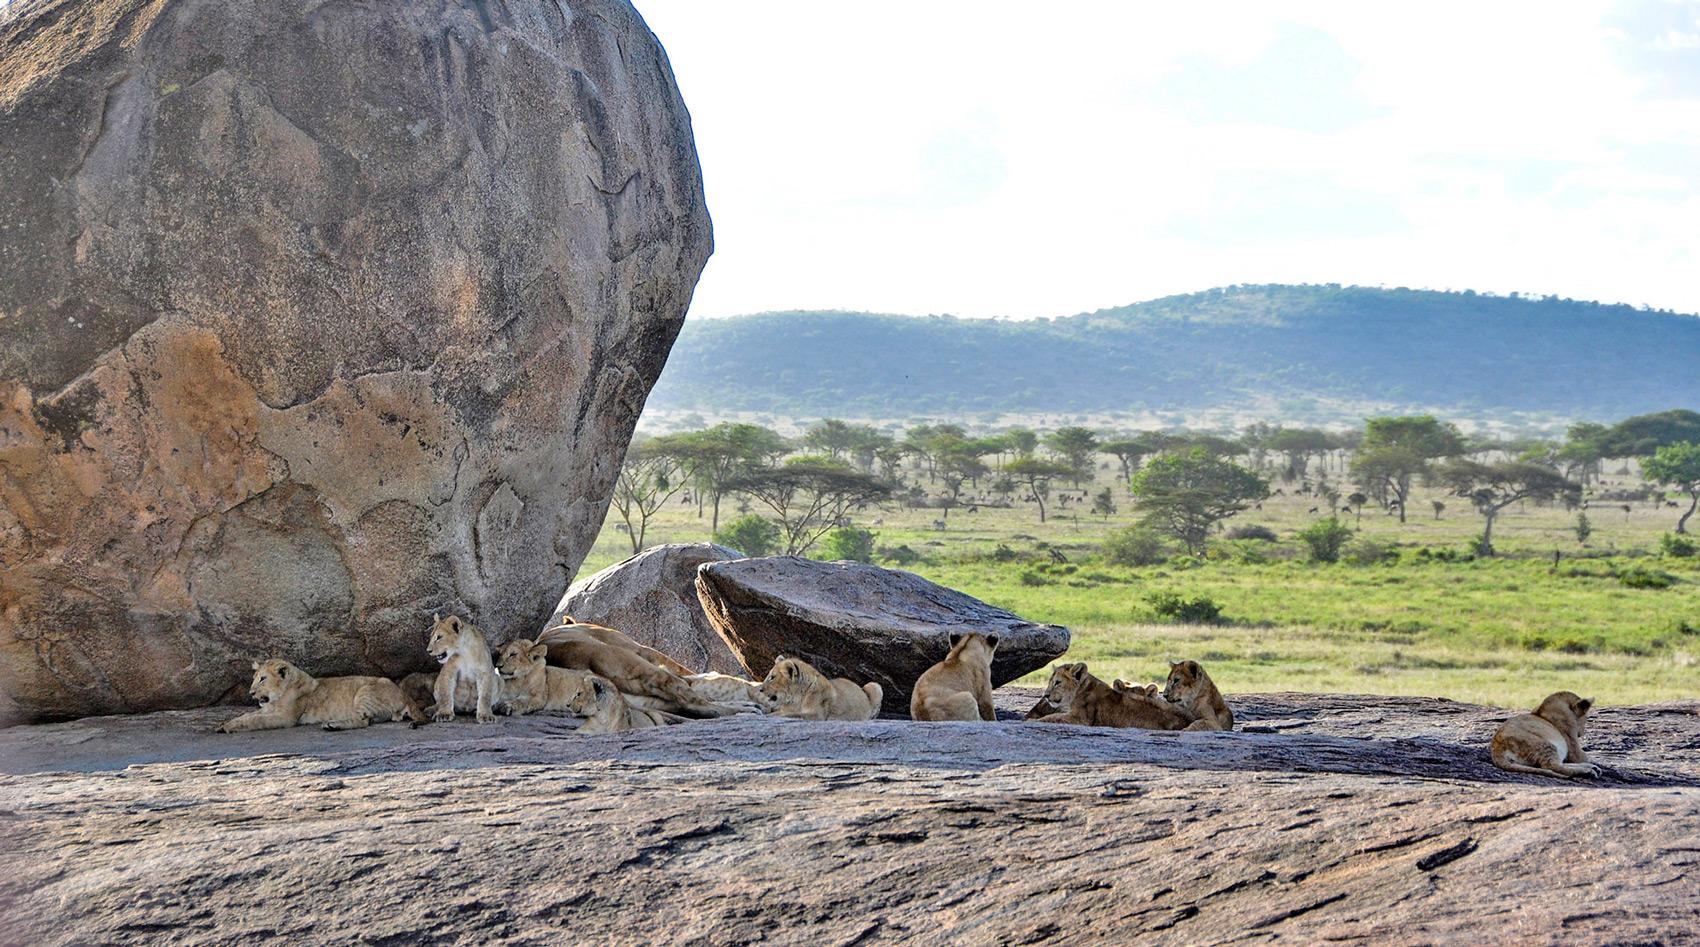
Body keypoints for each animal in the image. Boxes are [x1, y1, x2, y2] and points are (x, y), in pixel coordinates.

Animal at [215, 660, 425, 733]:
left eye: (263, 679)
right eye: (254, 678)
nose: (251, 693)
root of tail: (405, 695)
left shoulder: (285, 717)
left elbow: (255, 721)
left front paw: (228, 727)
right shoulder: (267, 709)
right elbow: (247, 716)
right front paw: (224, 724)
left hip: (364, 691)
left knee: (363, 721)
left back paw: (332, 725)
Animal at [1032, 662, 1191, 730]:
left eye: (1057, 683)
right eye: (1050, 682)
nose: (1045, 695)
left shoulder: (1081, 718)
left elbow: (1052, 718)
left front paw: (1035, 721)